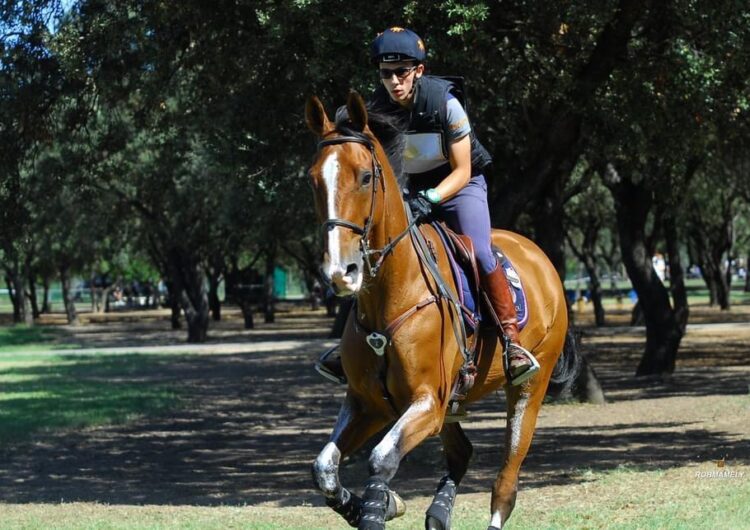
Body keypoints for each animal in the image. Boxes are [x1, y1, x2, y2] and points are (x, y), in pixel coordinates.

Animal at [308, 92, 572, 528]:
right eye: (314, 179)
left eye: (365, 177)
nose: (340, 272)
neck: (392, 294)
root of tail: (539, 256)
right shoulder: (368, 403)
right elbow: (325, 468)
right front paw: (382, 505)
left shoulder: (426, 403)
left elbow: (382, 459)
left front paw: (379, 508)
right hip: (452, 403)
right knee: (462, 452)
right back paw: (437, 513)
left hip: (529, 387)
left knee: (506, 481)